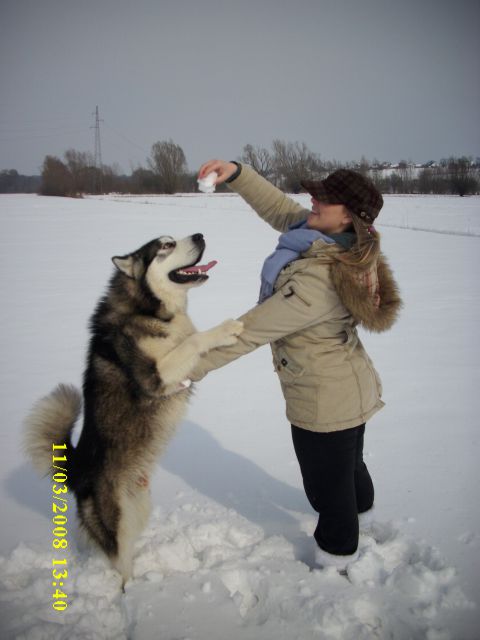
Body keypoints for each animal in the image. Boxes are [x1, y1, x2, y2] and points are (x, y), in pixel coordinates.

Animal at [23, 234, 242, 584]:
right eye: (165, 246)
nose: (200, 235)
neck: (147, 309)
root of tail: (77, 472)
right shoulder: (155, 377)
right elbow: (192, 341)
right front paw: (224, 329)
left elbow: (190, 339)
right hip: (118, 523)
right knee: (120, 565)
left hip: (139, 508)